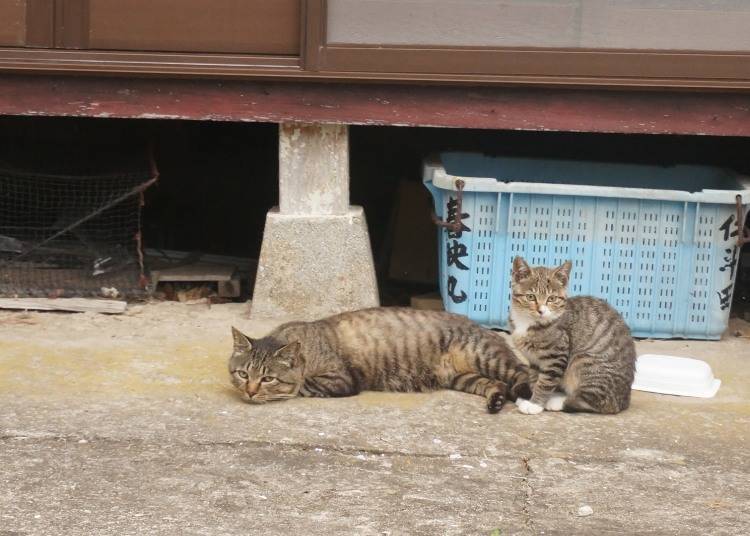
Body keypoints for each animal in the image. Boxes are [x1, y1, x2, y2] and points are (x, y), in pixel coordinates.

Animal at [231, 306, 536, 414]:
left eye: (268, 378)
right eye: (243, 374)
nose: (250, 391)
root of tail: (485, 328)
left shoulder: (340, 379)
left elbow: (301, 387)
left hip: (486, 357)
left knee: (521, 374)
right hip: (464, 377)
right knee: (497, 386)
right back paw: (496, 401)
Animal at [512, 256, 636, 414]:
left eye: (551, 299)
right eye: (530, 297)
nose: (541, 311)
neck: (528, 322)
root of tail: (624, 400)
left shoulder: (557, 355)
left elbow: (545, 381)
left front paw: (535, 404)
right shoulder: (534, 361)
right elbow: (535, 378)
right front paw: (531, 397)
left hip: (585, 361)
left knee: (596, 401)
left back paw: (556, 401)